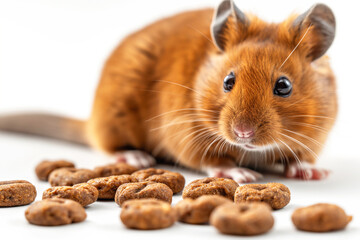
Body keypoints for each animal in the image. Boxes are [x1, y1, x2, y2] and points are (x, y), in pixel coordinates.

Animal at [0, 0, 338, 183]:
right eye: (228, 81)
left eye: (284, 86)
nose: (242, 133)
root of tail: (89, 120)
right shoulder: (187, 135)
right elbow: (214, 161)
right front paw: (244, 175)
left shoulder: (315, 136)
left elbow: (300, 158)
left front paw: (313, 172)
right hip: (113, 117)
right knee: (108, 145)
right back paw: (136, 156)